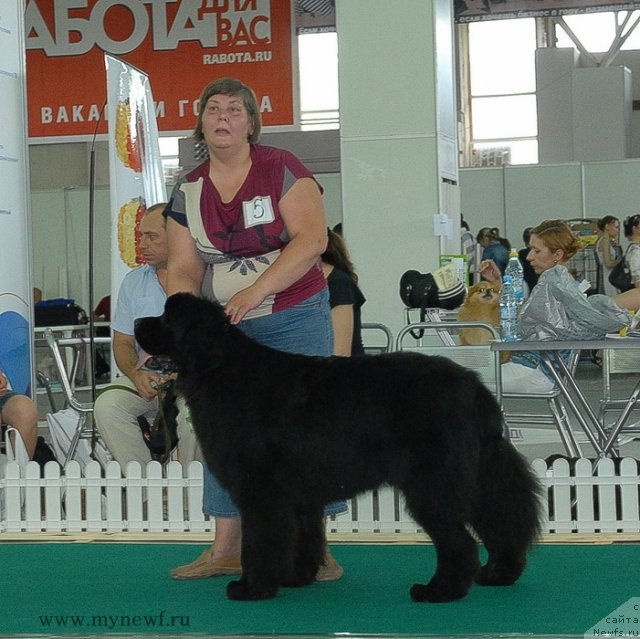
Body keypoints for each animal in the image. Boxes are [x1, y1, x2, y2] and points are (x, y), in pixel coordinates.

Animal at [135, 296, 540, 604]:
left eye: (167, 318)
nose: (137, 321)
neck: (218, 368)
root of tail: (475, 388)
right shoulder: (298, 494)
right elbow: (305, 535)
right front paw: (297, 577)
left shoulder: (261, 491)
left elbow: (260, 541)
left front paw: (252, 587)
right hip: (480, 474)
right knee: (502, 519)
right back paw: (498, 573)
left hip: (432, 484)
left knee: (458, 540)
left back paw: (439, 591)